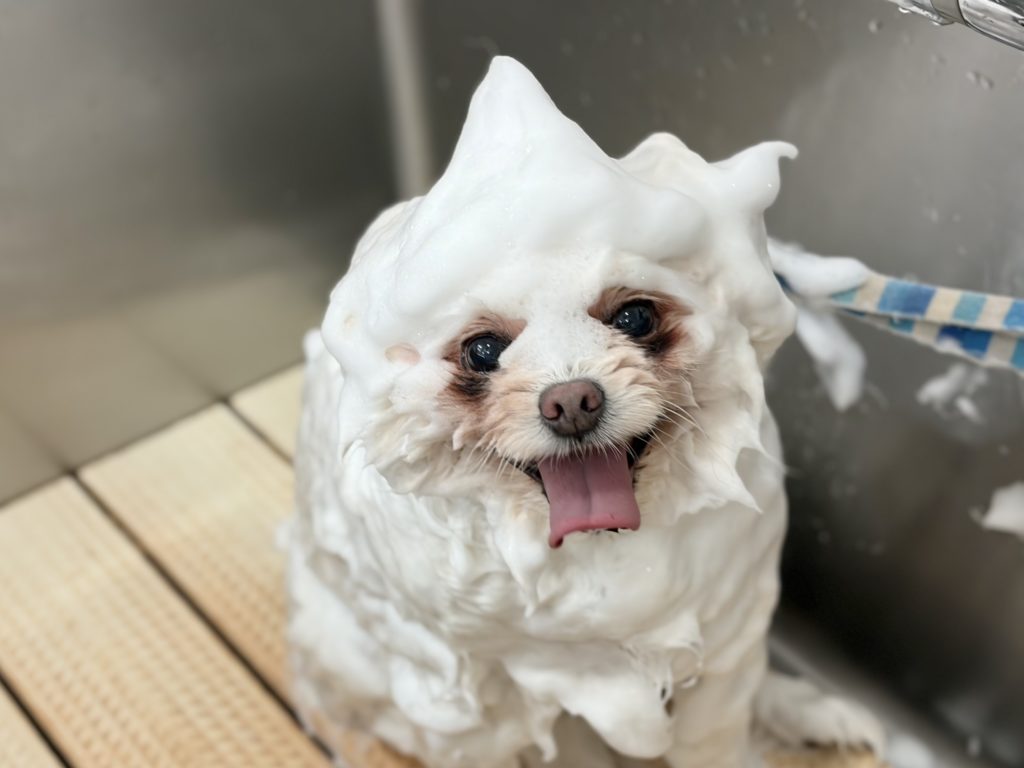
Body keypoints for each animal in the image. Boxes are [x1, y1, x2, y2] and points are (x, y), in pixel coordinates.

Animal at [287, 56, 883, 768]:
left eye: (635, 316)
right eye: (482, 350)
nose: (571, 400)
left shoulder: (728, 628)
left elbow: (716, 733)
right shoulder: (495, 691)